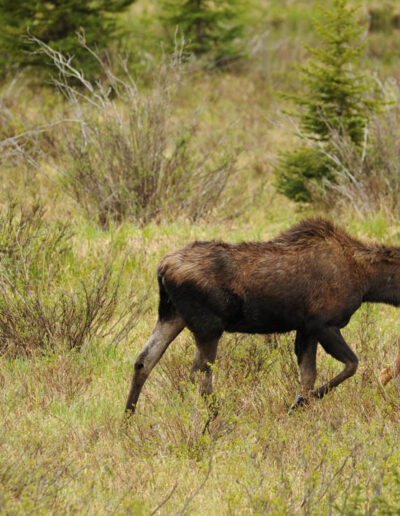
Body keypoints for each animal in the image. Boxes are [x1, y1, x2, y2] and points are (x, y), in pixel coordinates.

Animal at [125, 218, 400, 416]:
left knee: (144, 361)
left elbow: (308, 376)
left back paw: (127, 421)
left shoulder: (305, 328)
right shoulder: (323, 323)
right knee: (200, 375)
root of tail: (162, 269)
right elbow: (351, 365)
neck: (367, 282)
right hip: (208, 326)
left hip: (172, 315)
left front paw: (301, 408)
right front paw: (297, 404)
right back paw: (214, 421)